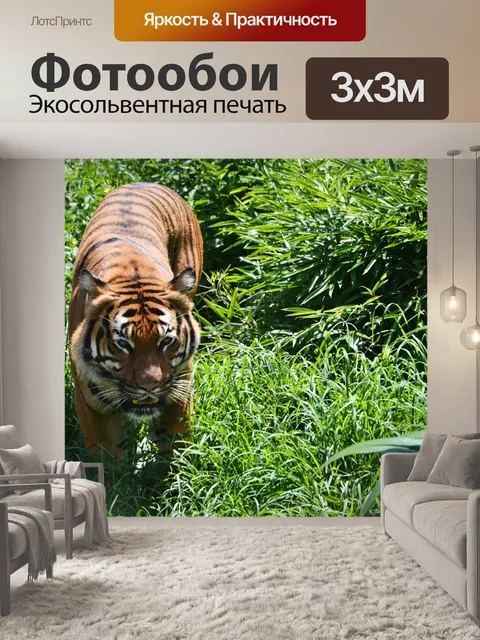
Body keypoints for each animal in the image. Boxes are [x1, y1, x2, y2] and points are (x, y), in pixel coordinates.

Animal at [68, 182, 203, 458]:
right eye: (123, 344)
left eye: (166, 342)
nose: (149, 387)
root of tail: (144, 182)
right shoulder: (91, 403)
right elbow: (107, 457)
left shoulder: (179, 387)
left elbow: (175, 445)